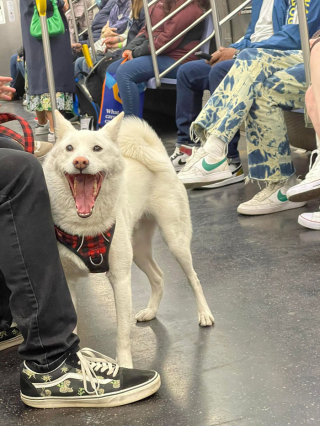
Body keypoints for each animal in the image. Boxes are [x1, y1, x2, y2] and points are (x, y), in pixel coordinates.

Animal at [42, 111, 212, 368]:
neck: (85, 229)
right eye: (69, 148)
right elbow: (72, 327)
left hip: (176, 241)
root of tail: (158, 157)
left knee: (194, 279)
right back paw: (151, 311)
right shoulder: (68, 283)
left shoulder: (120, 279)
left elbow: (122, 332)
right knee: (158, 277)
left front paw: (124, 366)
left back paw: (204, 314)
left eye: (97, 148)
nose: (80, 161)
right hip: (138, 251)